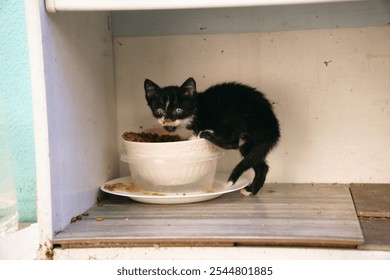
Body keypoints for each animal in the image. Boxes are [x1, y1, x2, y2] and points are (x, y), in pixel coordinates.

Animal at [143, 76, 280, 195]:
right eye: (159, 110)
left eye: (178, 110)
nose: (167, 120)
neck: (194, 110)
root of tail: (272, 125)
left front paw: (194, 137)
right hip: (251, 142)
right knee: (259, 163)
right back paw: (251, 190)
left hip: (232, 112)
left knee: (233, 142)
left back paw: (207, 134)